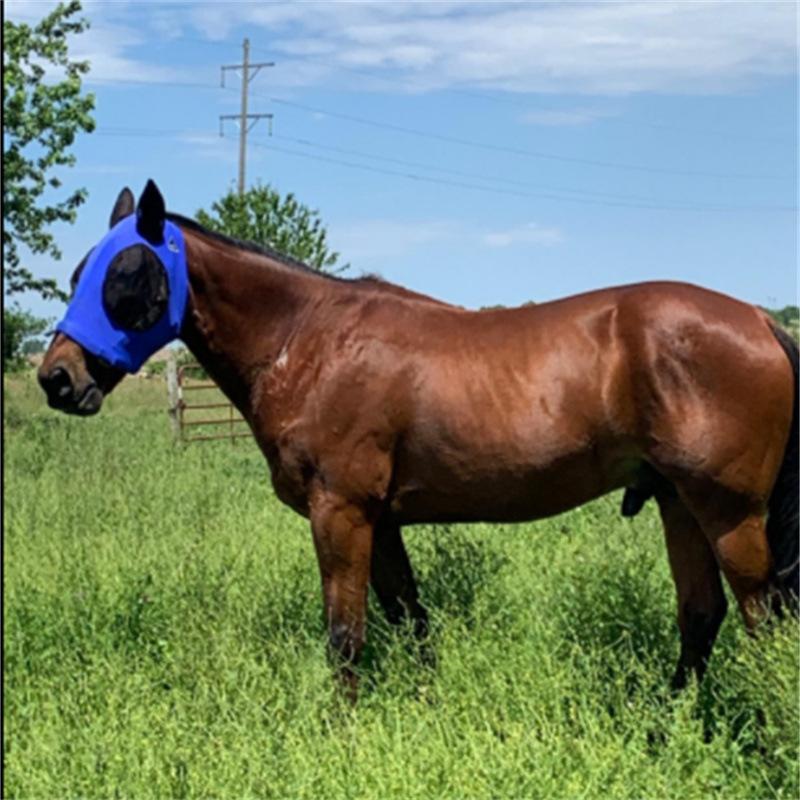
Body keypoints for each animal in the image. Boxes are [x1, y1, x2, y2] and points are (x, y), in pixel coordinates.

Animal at [39, 180, 798, 696]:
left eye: (126, 274)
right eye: (78, 275)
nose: (57, 377)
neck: (307, 340)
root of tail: (760, 321)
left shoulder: (341, 512)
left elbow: (345, 636)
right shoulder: (381, 521)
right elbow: (410, 620)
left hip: (728, 513)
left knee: (762, 620)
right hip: (678, 501)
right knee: (702, 615)